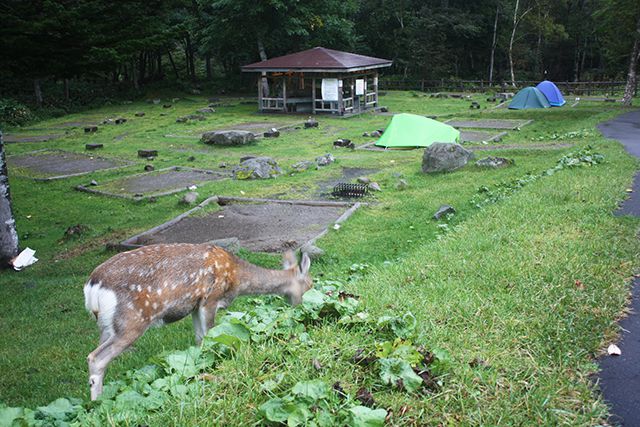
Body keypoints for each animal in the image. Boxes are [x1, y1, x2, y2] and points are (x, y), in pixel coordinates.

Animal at [82, 244, 312, 402]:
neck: (235, 278)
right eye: (310, 284)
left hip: (105, 326)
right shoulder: (210, 299)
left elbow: (200, 339)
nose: (303, 306)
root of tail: (91, 287)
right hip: (132, 321)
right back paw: (97, 402)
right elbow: (210, 334)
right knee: (96, 357)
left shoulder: (194, 305)